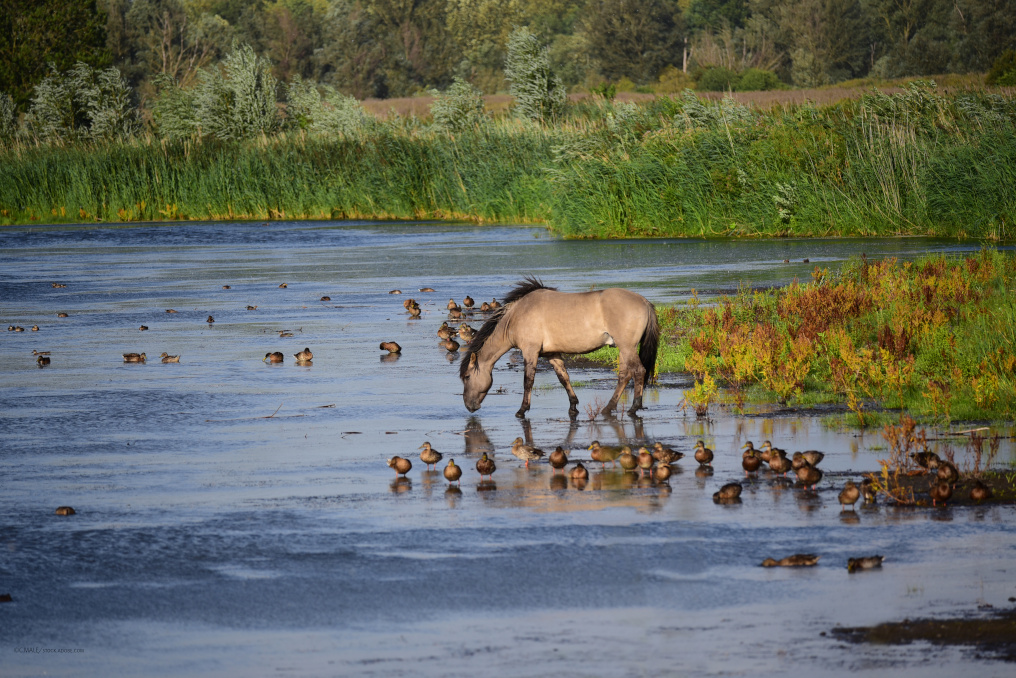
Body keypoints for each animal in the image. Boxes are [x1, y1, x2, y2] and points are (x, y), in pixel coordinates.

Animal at [459, 276, 658, 418]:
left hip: (627, 347)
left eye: (467, 376)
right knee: (624, 375)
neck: (517, 315)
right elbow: (564, 377)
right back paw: (608, 408)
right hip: (623, 348)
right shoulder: (551, 354)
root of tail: (644, 301)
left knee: (638, 371)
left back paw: (634, 407)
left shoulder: (530, 351)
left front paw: (522, 410)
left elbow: (528, 381)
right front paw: (573, 406)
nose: (469, 406)